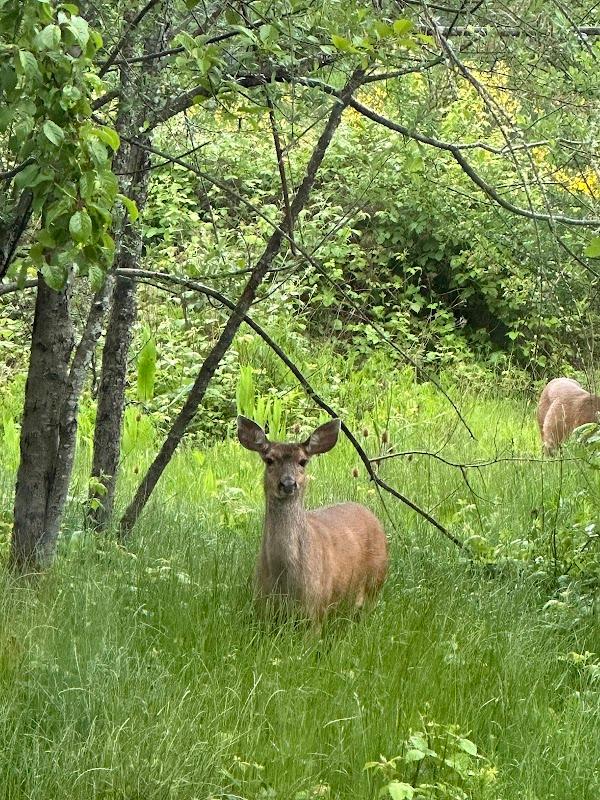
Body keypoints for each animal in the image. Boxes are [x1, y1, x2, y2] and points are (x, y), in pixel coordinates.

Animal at [237, 416, 386, 620]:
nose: (288, 483)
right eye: (269, 460)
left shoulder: (316, 607)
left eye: (303, 461)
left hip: (376, 581)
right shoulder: (262, 605)